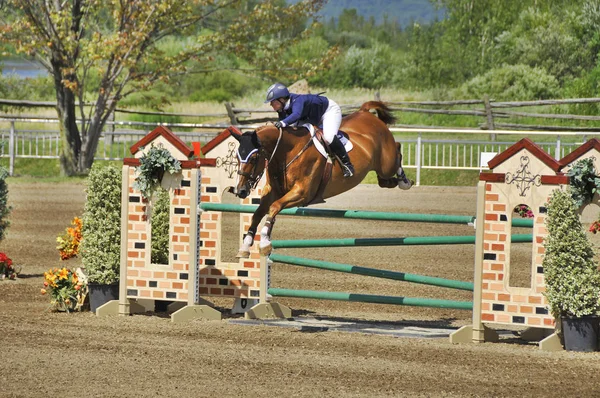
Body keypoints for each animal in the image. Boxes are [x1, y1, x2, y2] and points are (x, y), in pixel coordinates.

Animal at [230, 102, 412, 258]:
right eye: (237, 157)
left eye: (254, 158)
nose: (240, 191)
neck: (288, 152)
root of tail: (366, 113)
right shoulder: (274, 192)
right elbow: (258, 213)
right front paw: (245, 246)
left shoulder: (302, 194)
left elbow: (274, 207)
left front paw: (264, 244)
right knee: (384, 179)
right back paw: (393, 182)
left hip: (387, 163)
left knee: (397, 149)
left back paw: (404, 181)